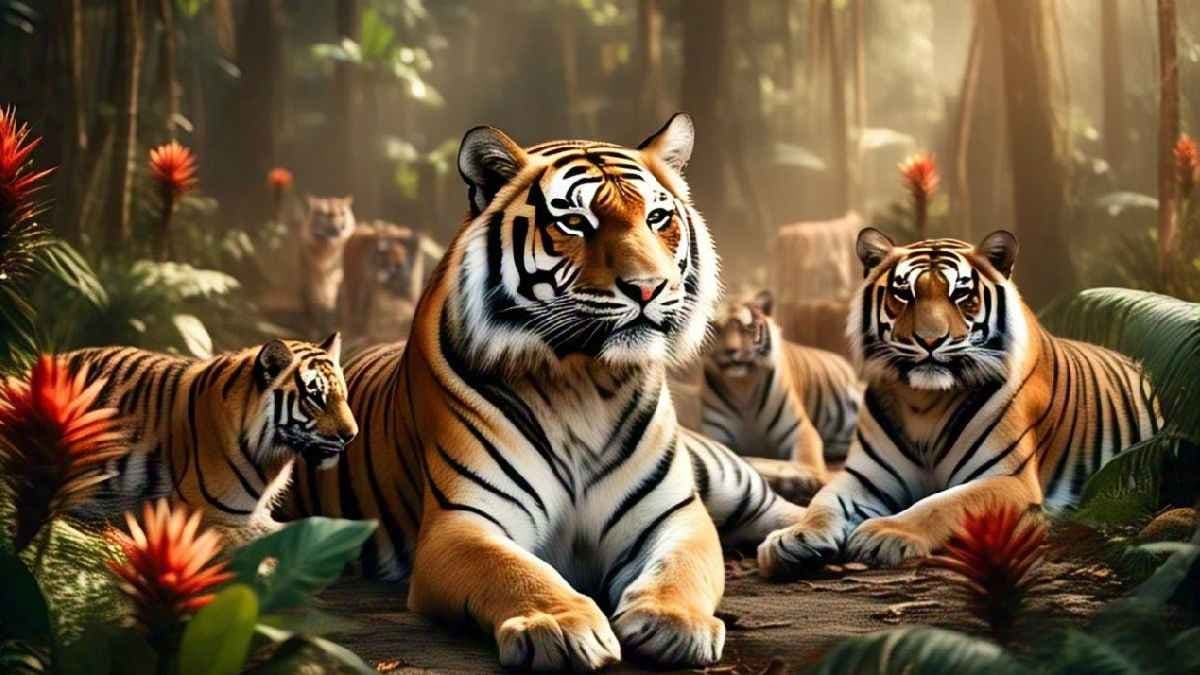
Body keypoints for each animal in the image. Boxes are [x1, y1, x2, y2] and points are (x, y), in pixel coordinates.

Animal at [299, 196, 357, 332]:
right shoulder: (312, 278)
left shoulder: (336, 278)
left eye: (342, 213)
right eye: (326, 214)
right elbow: (316, 303)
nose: (340, 228)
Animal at [702, 289, 862, 491]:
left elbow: (798, 465)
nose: (731, 350)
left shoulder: (801, 431)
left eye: (748, 328)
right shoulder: (715, 436)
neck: (743, 386)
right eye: (716, 328)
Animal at [758, 228, 1161, 579]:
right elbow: (823, 502)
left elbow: (940, 504)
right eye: (903, 295)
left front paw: (885, 533)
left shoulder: (1006, 479)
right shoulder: (865, 477)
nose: (929, 340)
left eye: (962, 296)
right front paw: (792, 537)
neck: (923, 401)